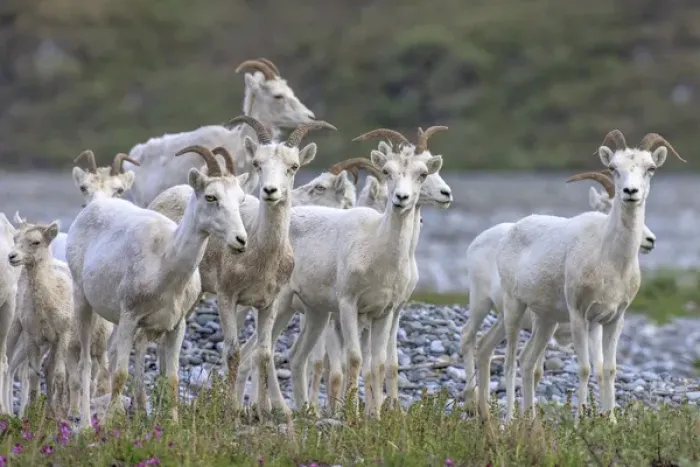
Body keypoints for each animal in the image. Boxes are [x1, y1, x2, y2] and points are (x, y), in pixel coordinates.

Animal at [66, 146, 249, 428]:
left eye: (240, 199)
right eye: (211, 197)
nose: (240, 240)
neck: (164, 261)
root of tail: (93, 208)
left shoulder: (176, 326)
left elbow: (172, 378)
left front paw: (172, 424)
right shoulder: (129, 318)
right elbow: (121, 373)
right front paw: (111, 423)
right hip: (83, 302)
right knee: (86, 362)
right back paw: (86, 423)